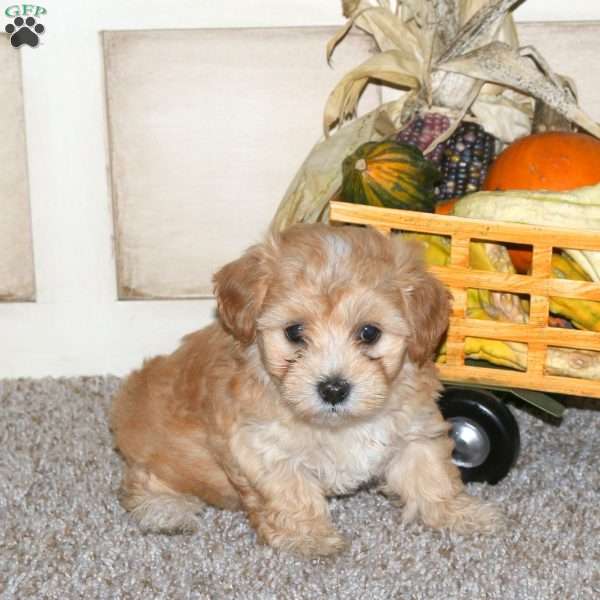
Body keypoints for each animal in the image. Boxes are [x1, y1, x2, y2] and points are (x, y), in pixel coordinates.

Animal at [110, 223, 500, 556]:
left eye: (369, 332)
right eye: (294, 332)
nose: (333, 388)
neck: (339, 424)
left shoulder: (414, 429)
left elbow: (432, 474)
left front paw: (460, 514)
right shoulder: (261, 447)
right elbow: (289, 492)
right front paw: (308, 537)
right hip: (160, 445)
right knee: (140, 479)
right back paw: (165, 509)